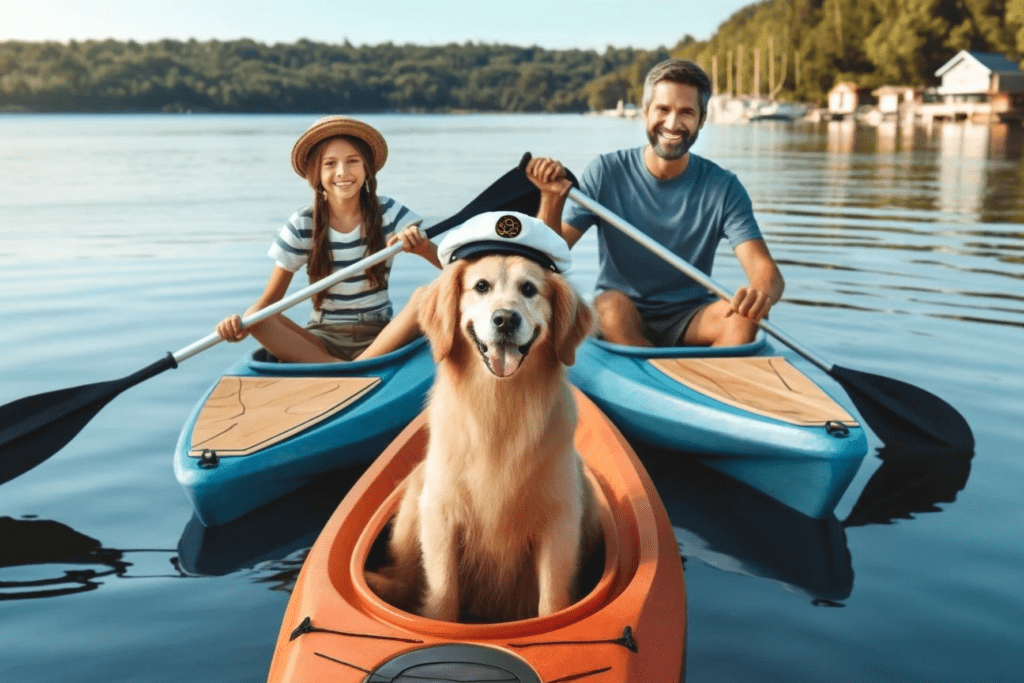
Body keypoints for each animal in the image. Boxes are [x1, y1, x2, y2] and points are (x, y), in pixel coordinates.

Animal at [368, 228, 598, 618]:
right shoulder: (441, 517)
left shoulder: (559, 523)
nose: (505, 319)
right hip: (415, 498)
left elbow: (552, 601)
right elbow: (443, 594)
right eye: (481, 286)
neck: (498, 405)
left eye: (529, 289)